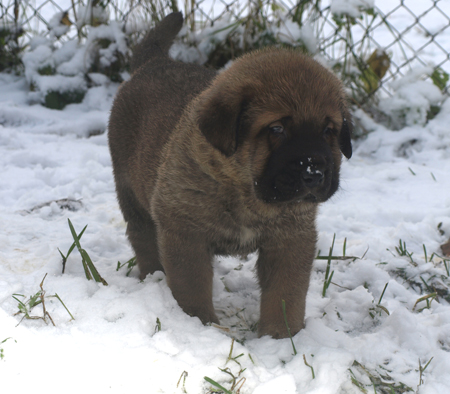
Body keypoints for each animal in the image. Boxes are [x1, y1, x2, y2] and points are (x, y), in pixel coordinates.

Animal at [108, 12, 352, 338]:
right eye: (277, 129)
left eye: (328, 131)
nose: (314, 172)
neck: (246, 192)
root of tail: (154, 62)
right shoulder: (185, 232)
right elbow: (192, 287)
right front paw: (199, 325)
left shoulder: (291, 238)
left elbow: (285, 293)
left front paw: (281, 337)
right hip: (131, 193)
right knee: (143, 238)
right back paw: (153, 280)